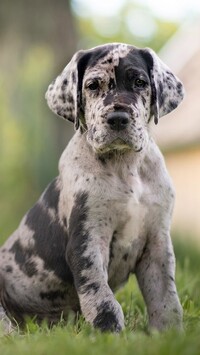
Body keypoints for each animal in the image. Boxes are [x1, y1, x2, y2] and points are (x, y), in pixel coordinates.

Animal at [0, 43, 184, 332]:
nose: (118, 118)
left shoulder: (157, 242)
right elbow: (99, 293)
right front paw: (108, 332)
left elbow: (165, 297)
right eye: (93, 85)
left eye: (140, 82)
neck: (125, 167)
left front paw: (170, 334)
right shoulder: (87, 239)